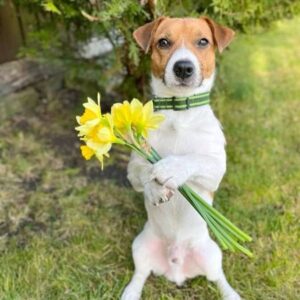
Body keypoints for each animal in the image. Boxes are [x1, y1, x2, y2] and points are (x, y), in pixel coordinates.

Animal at [120, 17, 240, 300]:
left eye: (203, 41)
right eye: (163, 42)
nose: (183, 67)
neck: (179, 112)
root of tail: (176, 268)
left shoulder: (216, 168)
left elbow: (194, 159)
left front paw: (172, 168)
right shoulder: (134, 166)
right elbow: (144, 170)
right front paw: (155, 188)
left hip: (212, 253)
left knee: (218, 278)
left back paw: (232, 294)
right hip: (140, 246)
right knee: (140, 274)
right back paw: (130, 292)